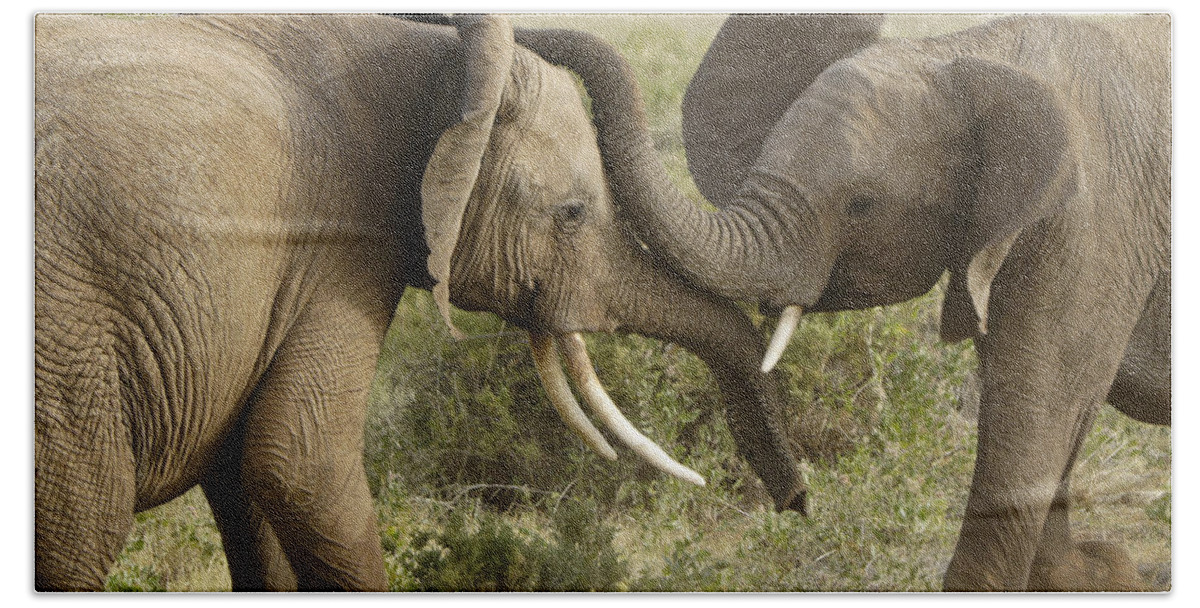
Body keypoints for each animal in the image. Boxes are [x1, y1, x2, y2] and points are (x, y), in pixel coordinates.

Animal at [32, 14, 806, 592]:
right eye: (572, 214)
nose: (796, 501)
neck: (441, 63)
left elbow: (249, 481)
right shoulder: (336, 244)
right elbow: (300, 465)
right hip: (66, 349)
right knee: (86, 527)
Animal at [518, 14, 1171, 592]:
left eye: (861, 204)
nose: (799, 502)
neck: (964, 50)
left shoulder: (1093, 224)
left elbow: (1039, 406)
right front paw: (1097, 574)